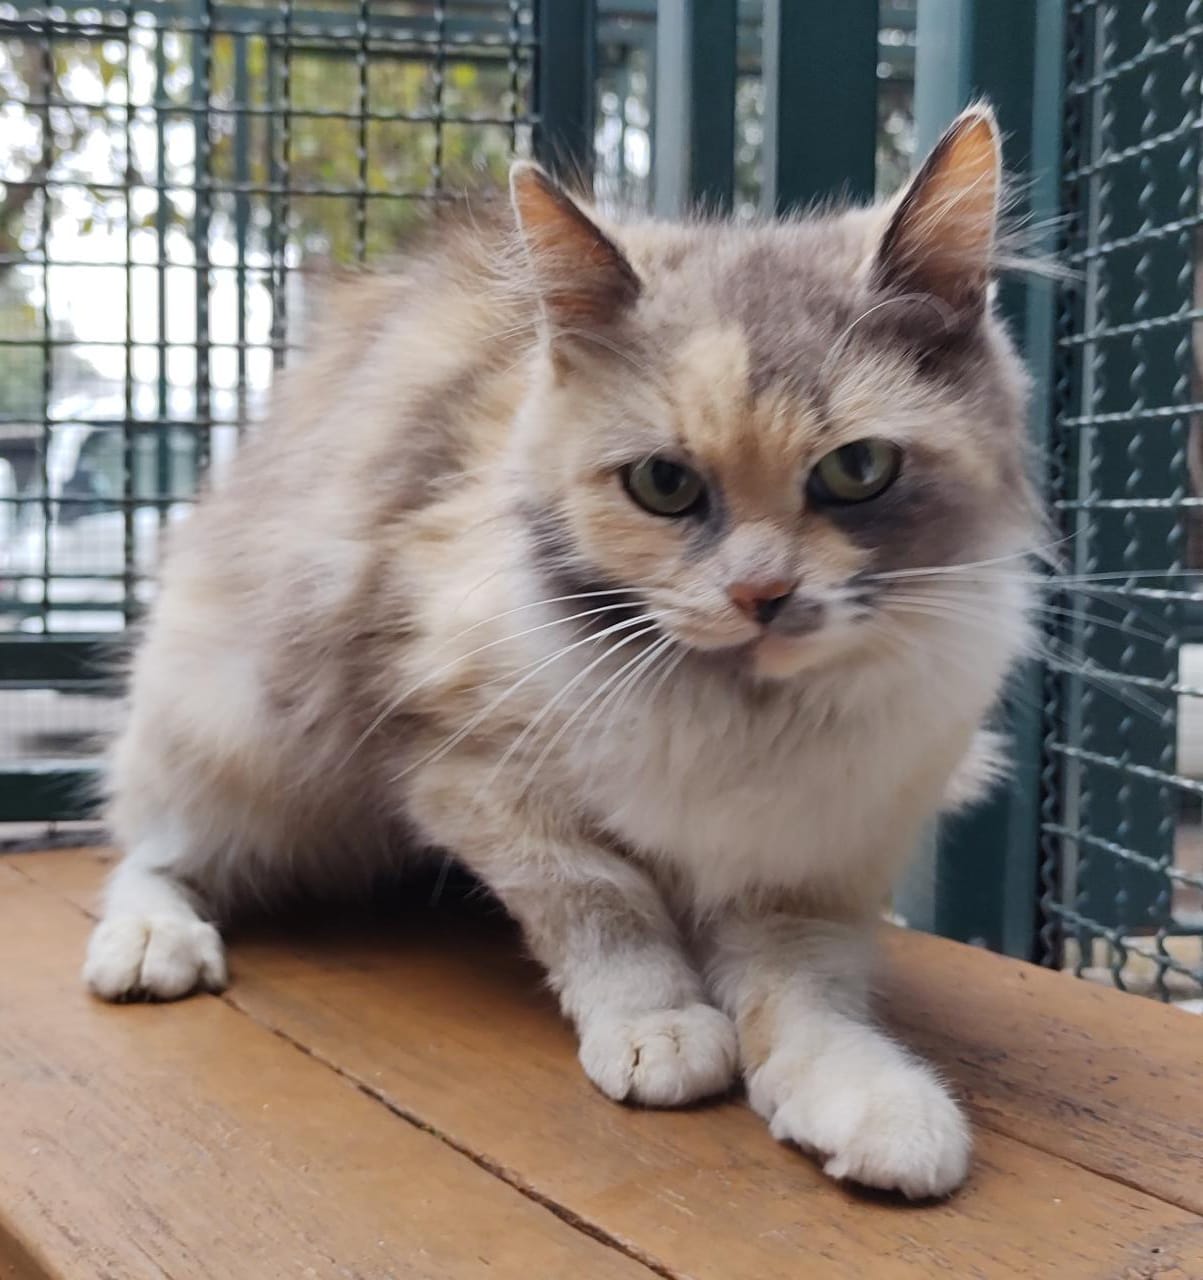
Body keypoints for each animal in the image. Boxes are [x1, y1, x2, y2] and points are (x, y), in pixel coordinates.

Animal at [82, 107, 1034, 1198]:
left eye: (858, 470)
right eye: (663, 484)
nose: (762, 596)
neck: (741, 716)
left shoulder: (810, 861)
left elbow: (806, 995)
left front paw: (871, 1103)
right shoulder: (475, 778)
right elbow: (604, 908)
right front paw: (662, 1028)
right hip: (236, 738)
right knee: (152, 855)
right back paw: (150, 945)